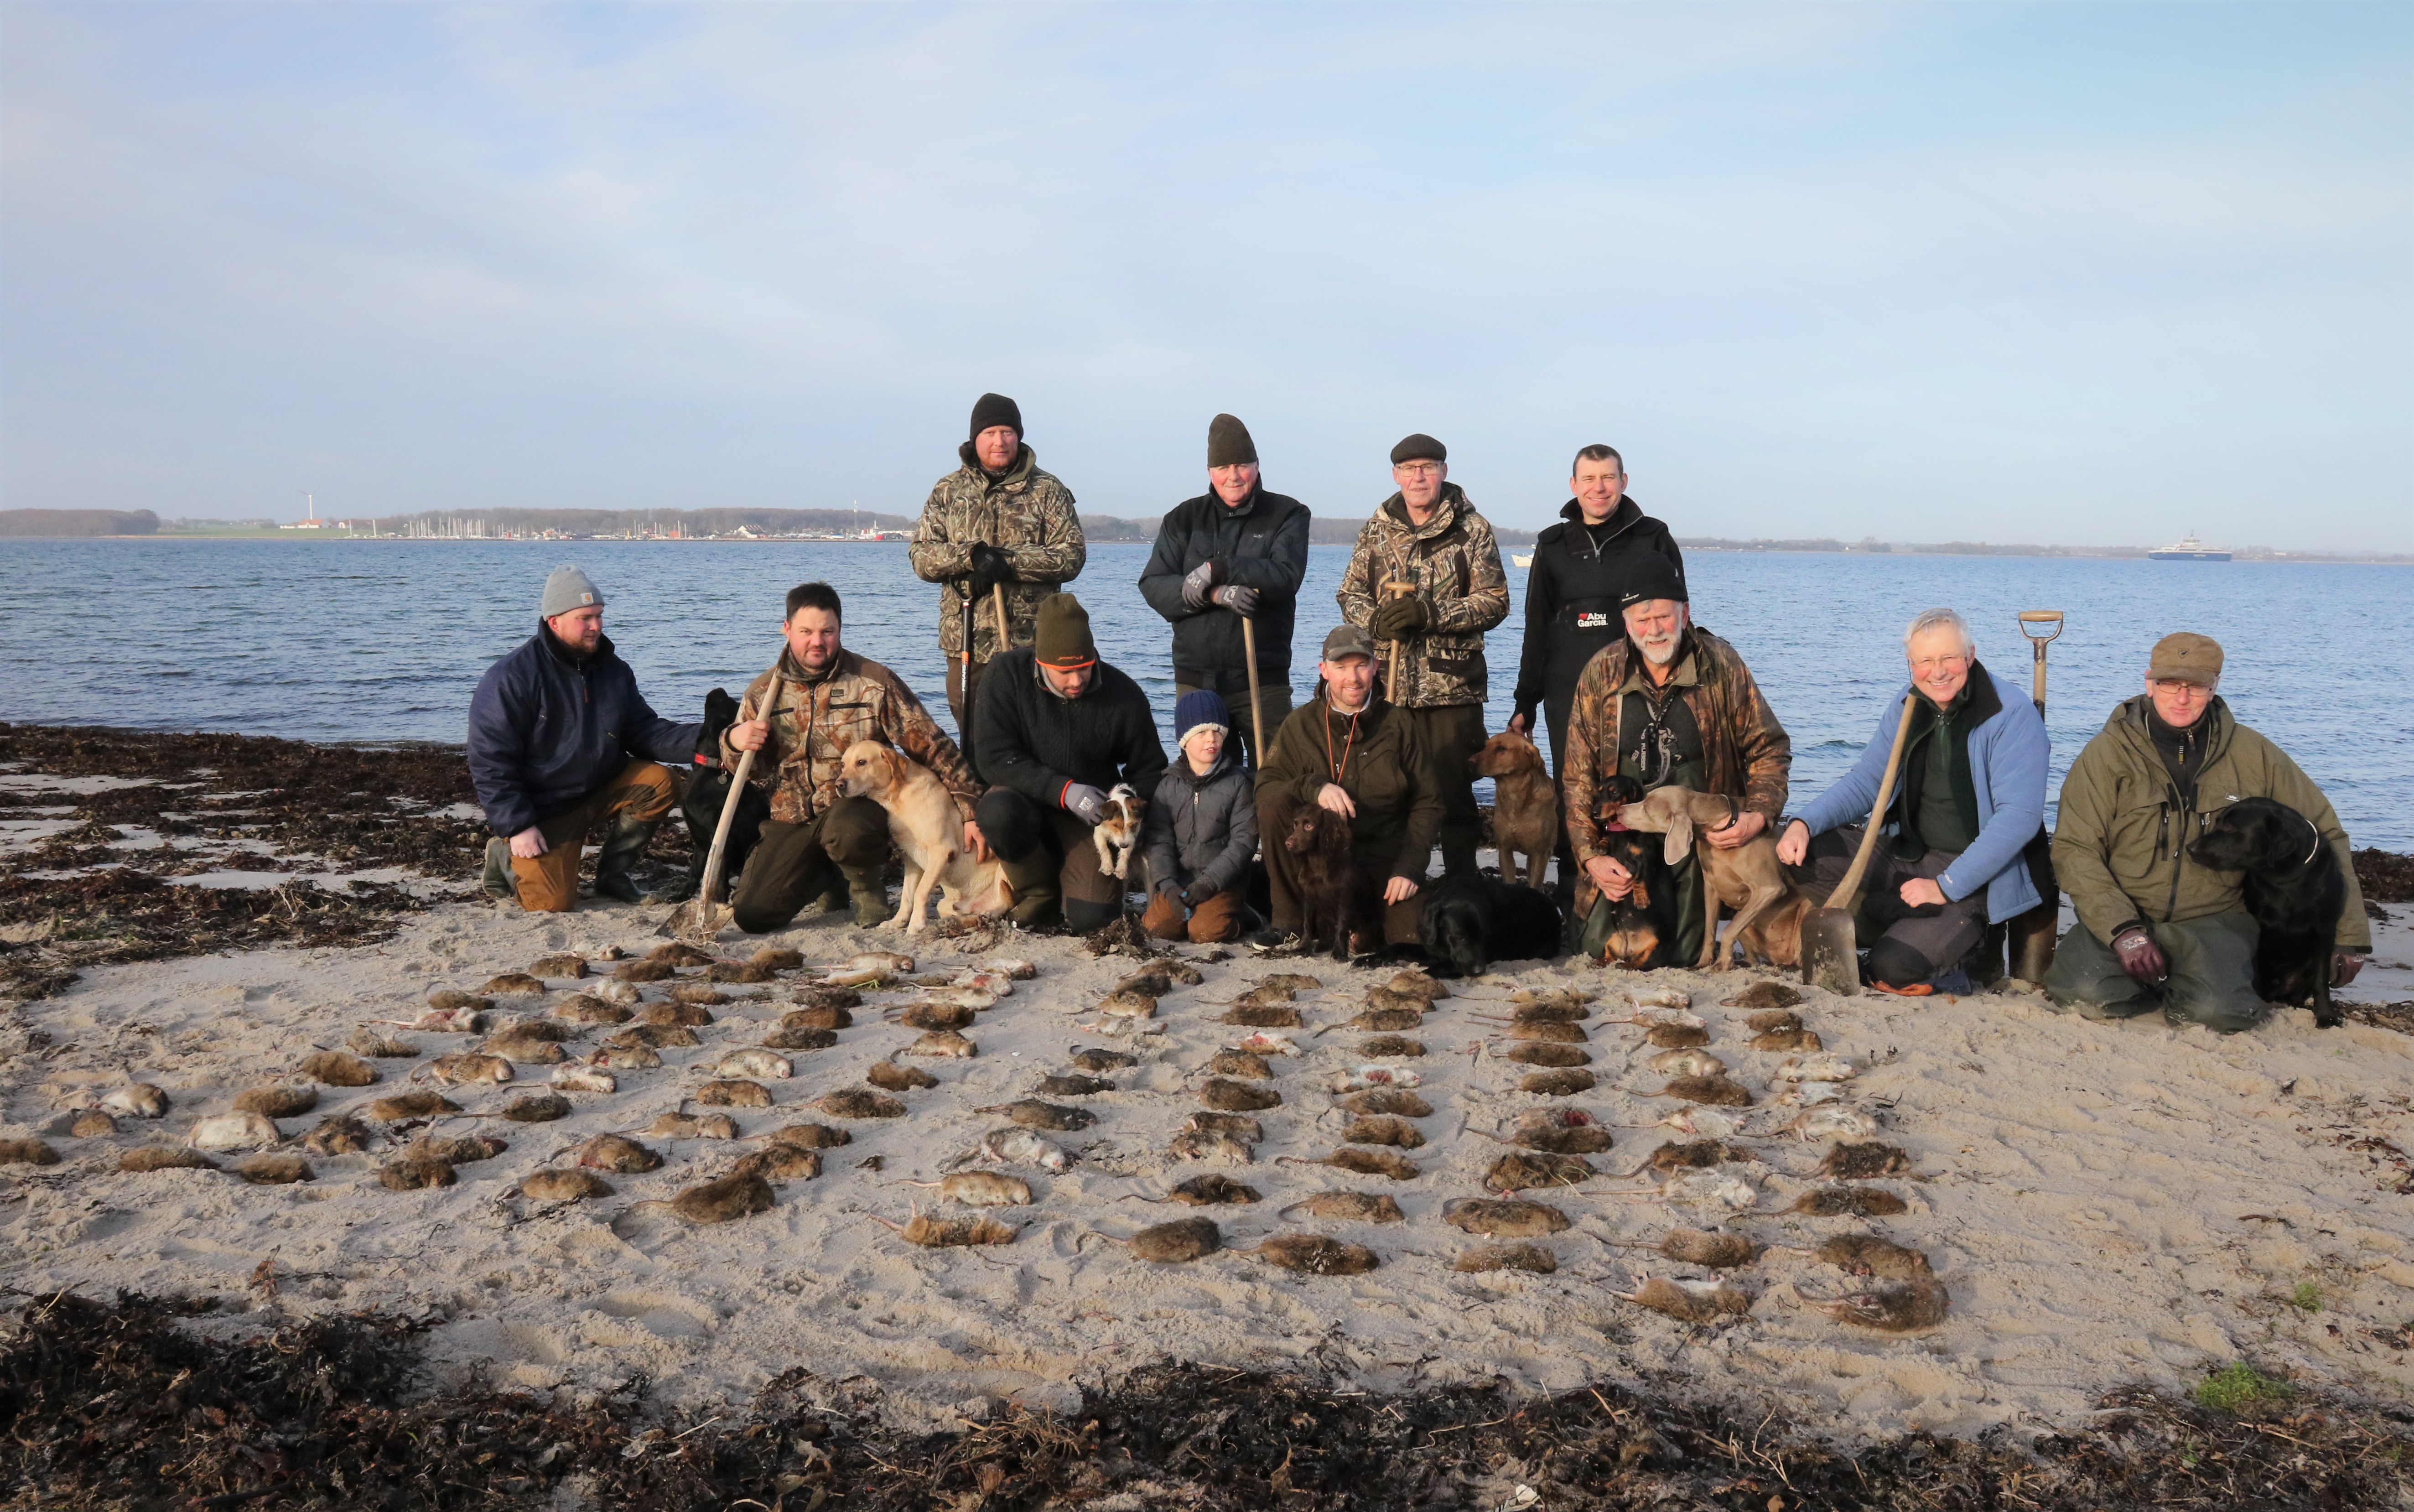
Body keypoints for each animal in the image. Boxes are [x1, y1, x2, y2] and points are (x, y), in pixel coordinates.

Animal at [840, 734, 1009, 922]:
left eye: (862, 762)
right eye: (843, 765)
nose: (839, 785)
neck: (897, 798)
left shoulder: (941, 852)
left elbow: (920, 892)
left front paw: (916, 924)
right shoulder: (911, 859)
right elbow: (907, 896)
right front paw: (897, 922)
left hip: (1003, 873)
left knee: (1005, 902)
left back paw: (991, 913)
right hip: (947, 905)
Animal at [1468, 729, 1564, 888]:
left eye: (1501, 749)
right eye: (1486, 746)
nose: (1469, 762)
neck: (1515, 799)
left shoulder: (1540, 854)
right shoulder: (1505, 850)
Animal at [1612, 782, 1806, 971]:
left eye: (1646, 809)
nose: (1619, 810)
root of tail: (1777, 958)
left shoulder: (1769, 888)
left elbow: (1728, 930)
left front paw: (1722, 963)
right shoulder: (1711, 886)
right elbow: (1709, 929)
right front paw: (1703, 963)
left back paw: (1790, 966)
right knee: (1753, 959)